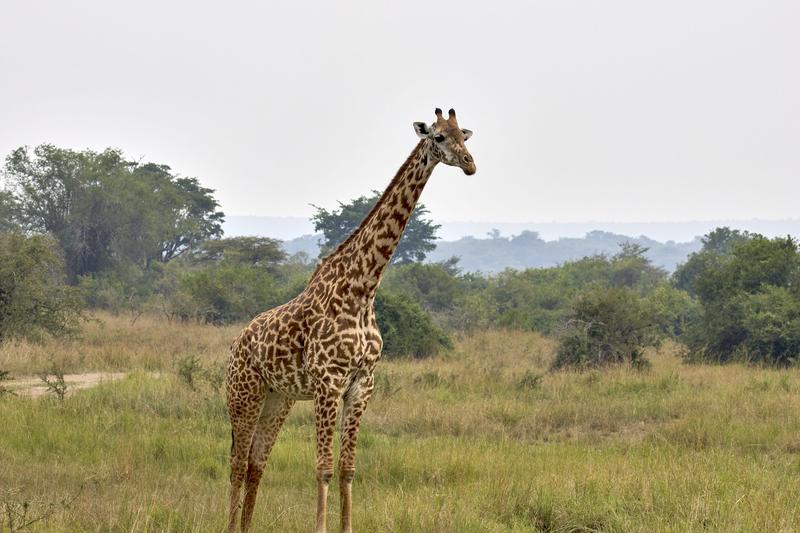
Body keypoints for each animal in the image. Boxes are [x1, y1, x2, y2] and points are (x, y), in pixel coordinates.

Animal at [223, 108, 476, 532]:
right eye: (439, 137)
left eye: (465, 136)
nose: (471, 165)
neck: (363, 288)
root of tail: (235, 346)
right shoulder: (329, 382)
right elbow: (324, 468)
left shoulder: (362, 384)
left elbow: (348, 469)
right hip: (244, 396)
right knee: (237, 465)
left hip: (278, 398)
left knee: (257, 463)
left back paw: (247, 527)